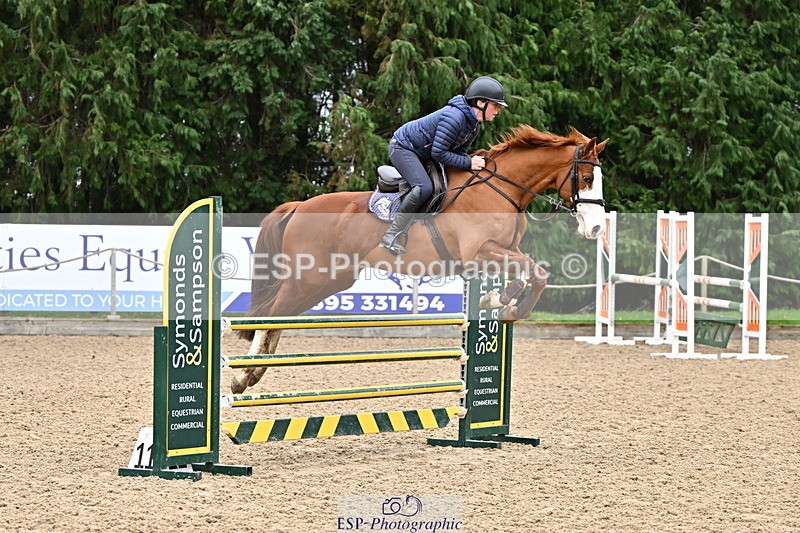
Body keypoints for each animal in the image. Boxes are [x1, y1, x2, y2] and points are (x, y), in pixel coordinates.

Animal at [231, 125, 608, 393]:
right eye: (587, 178)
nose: (596, 227)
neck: (501, 189)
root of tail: (298, 206)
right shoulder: (479, 252)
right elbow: (533, 271)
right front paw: (509, 304)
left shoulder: (497, 254)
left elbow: (533, 272)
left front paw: (503, 302)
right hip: (309, 278)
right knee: (270, 315)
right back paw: (242, 376)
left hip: (328, 280)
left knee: (279, 318)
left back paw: (254, 374)